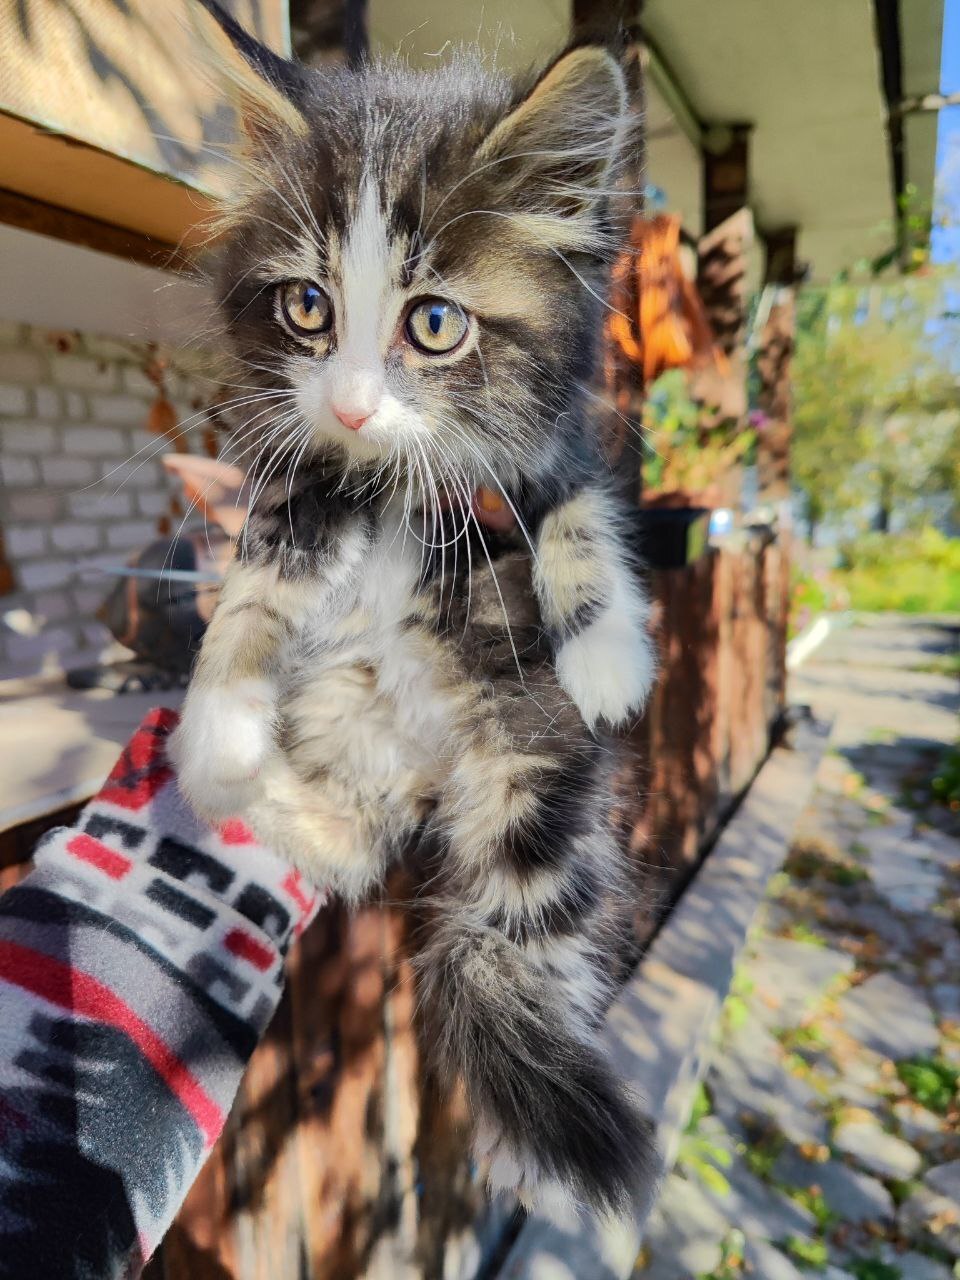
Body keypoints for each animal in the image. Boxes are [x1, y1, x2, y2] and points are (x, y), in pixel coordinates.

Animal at [172, 0, 660, 1213]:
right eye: (307, 307)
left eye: (434, 323)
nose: (350, 403)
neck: (387, 479)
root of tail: (447, 766)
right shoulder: (297, 477)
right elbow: (255, 582)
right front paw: (216, 727)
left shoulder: (552, 439)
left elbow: (578, 507)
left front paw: (609, 657)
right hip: (356, 737)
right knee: (354, 848)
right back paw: (242, 784)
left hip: (535, 780)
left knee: (512, 935)